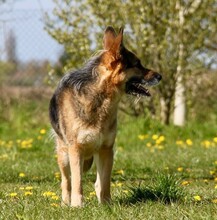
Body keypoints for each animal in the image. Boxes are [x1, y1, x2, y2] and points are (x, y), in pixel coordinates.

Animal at [49, 26, 161, 206]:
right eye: (137, 64)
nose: (160, 76)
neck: (101, 99)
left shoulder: (107, 149)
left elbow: (105, 181)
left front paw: (107, 204)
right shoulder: (75, 149)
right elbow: (77, 181)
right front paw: (77, 205)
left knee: (97, 181)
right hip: (64, 154)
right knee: (66, 181)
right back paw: (66, 203)